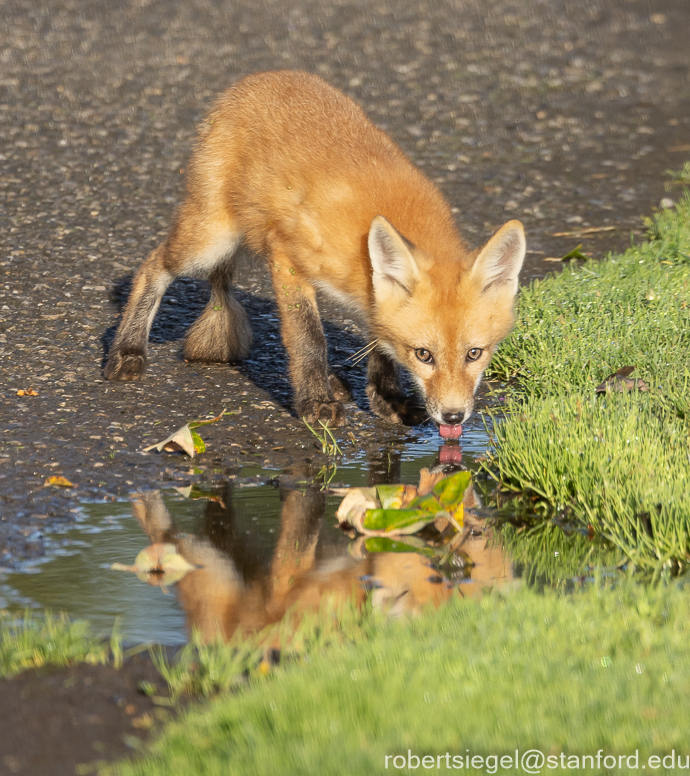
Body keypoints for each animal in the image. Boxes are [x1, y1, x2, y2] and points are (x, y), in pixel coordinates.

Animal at [103, 69, 520, 440]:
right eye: (423, 355)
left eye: (474, 353)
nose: (453, 416)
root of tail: (255, 78)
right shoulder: (286, 256)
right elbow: (308, 337)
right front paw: (315, 402)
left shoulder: (374, 291)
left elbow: (379, 341)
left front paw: (386, 398)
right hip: (209, 241)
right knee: (152, 266)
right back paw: (127, 350)